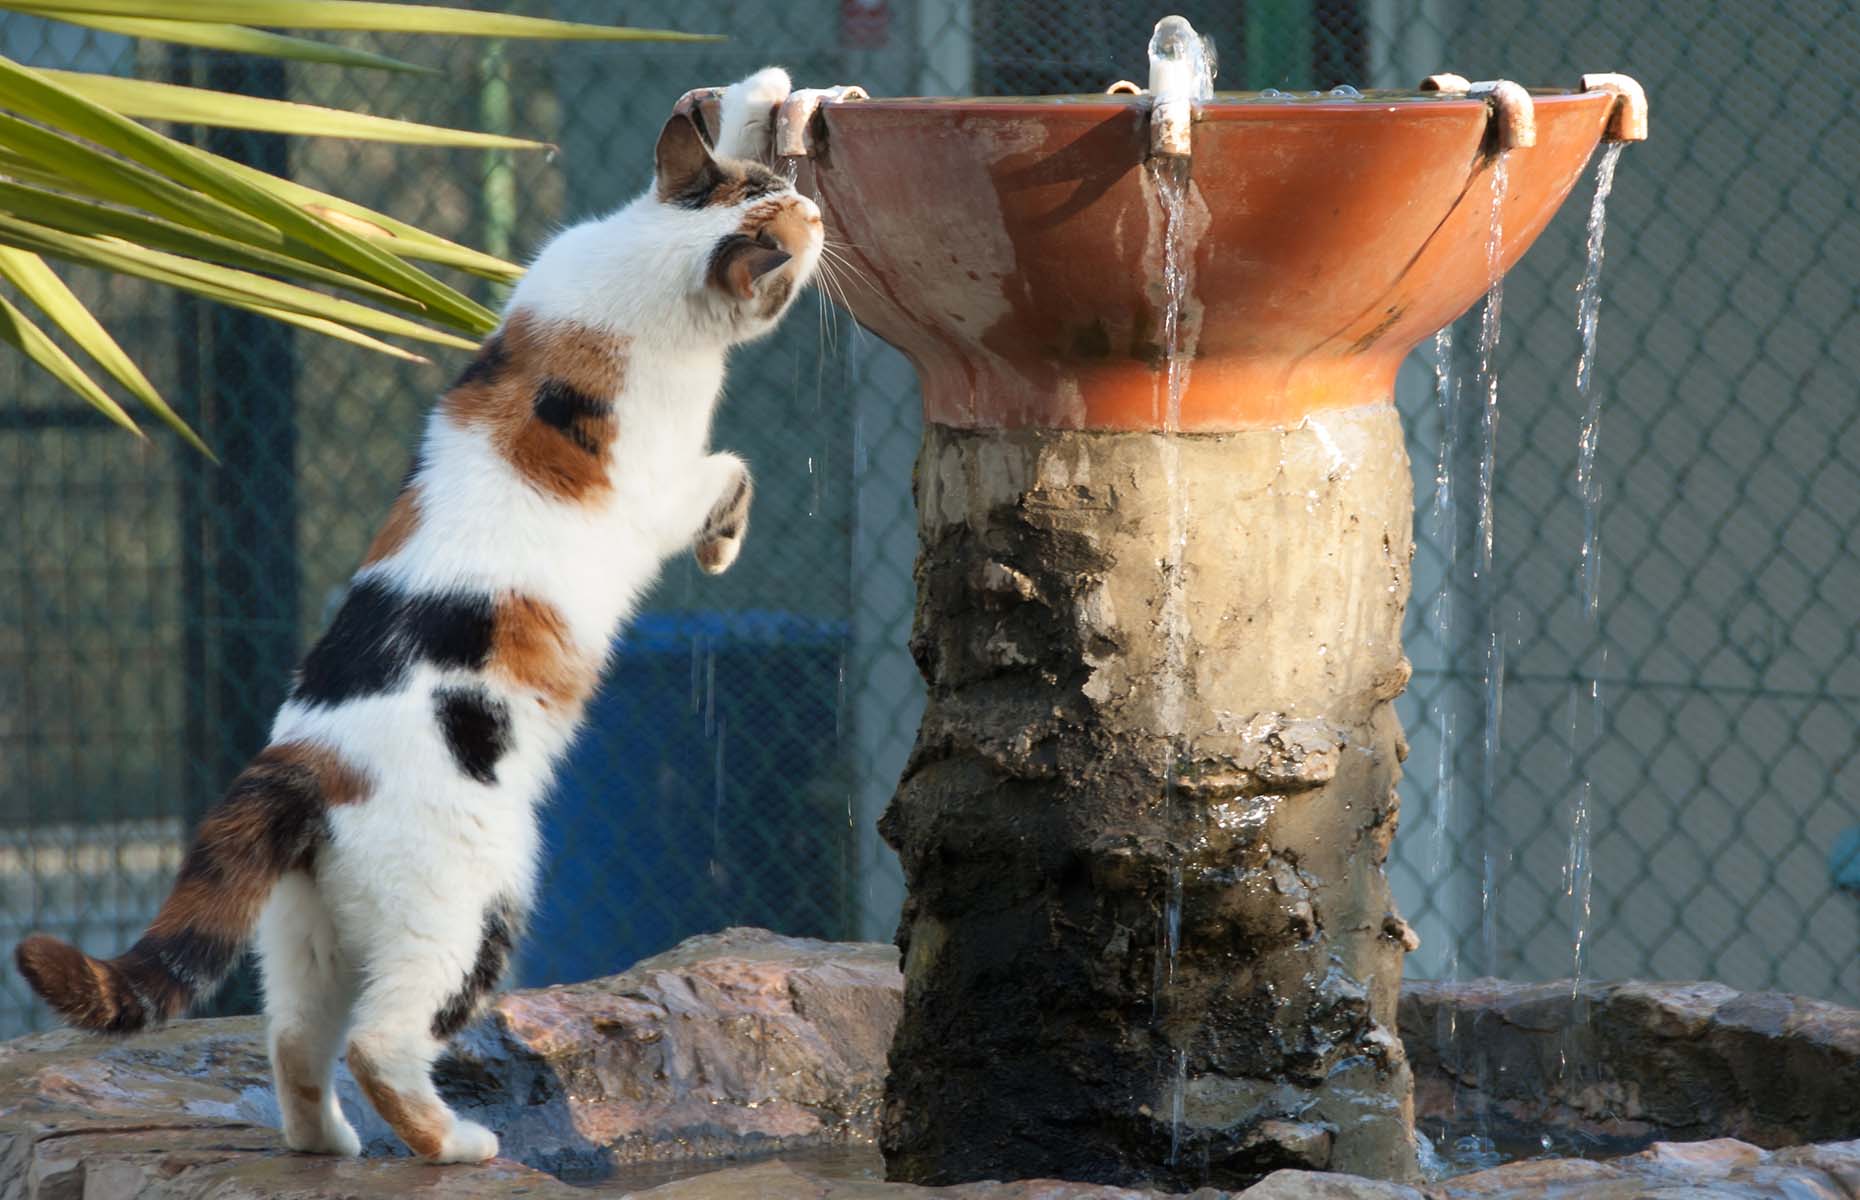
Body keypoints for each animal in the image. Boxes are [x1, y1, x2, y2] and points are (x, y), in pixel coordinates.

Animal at [10, 65, 818, 1160]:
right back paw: (455, 1143)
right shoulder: (661, 487)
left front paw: (756, 94)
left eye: (782, 186)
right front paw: (723, 544)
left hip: (305, 933)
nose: (820, 214)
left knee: (294, 1040)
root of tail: (301, 764)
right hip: (472, 907)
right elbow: (731, 467)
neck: (645, 269)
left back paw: (327, 1146)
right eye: (793, 229)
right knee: (382, 1040)